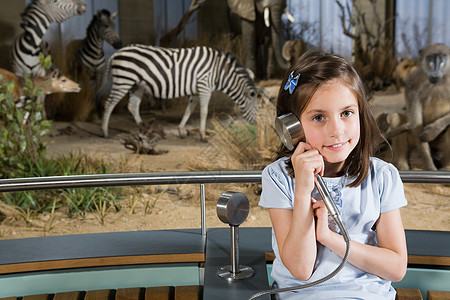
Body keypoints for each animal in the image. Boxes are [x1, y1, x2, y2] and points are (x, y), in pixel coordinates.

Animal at [100, 44, 258, 139]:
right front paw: (203, 135)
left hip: (137, 85)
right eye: (257, 108)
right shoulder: (205, 86)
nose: (257, 125)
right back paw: (105, 131)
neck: (220, 72)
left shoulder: (196, 90)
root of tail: (117, 52)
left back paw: (144, 128)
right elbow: (204, 112)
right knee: (109, 104)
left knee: (132, 106)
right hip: (124, 80)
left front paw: (181, 130)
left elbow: (189, 109)